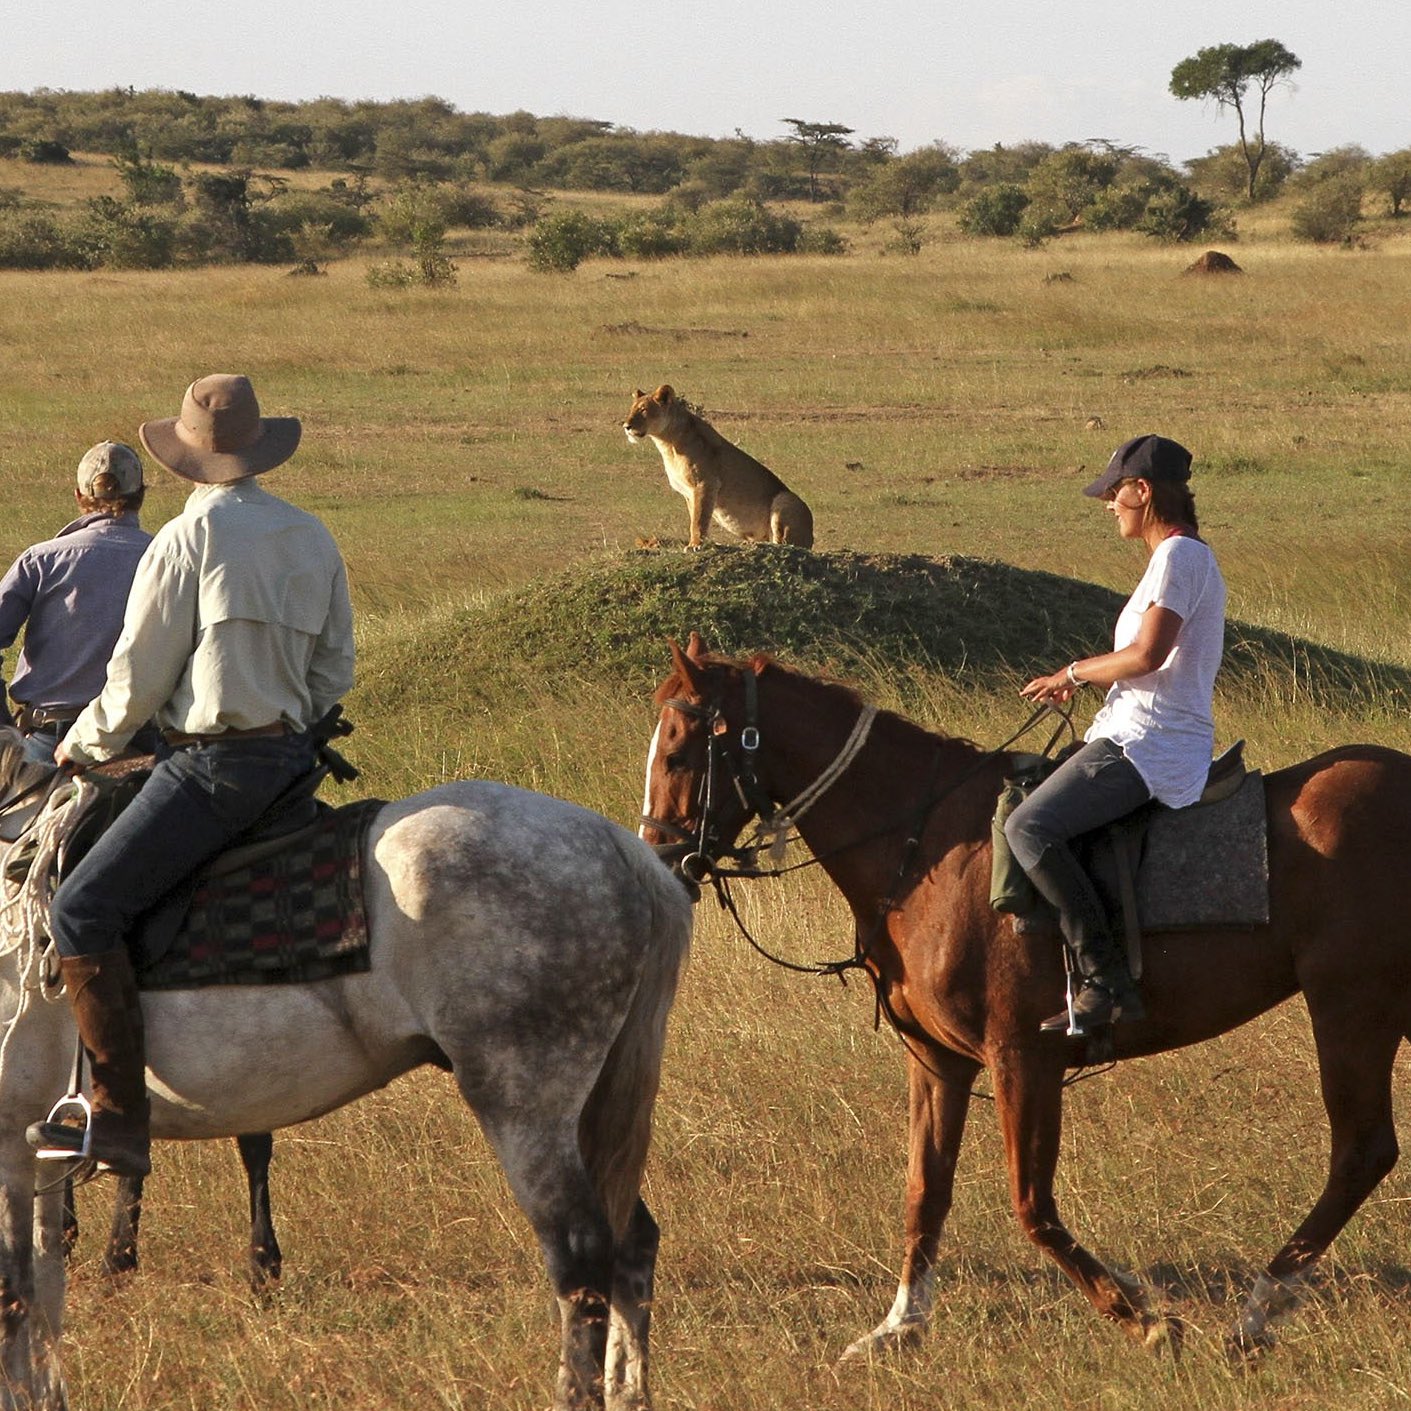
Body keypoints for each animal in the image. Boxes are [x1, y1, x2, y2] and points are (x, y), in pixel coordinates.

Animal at [0, 733, 688, 1411]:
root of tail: (622, 849)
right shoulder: (36, 1150)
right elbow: (43, 1291)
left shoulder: (10, 1142)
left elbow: (15, 1296)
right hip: (592, 1108)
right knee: (632, 1242)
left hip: (524, 1104)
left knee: (581, 1256)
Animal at [646, 637, 1411, 1354]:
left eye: (678, 754)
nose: (659, 859)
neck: (929, 848)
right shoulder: (938, 1059)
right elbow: (925, 1190)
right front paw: (899, 1325)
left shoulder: (1023, 1057)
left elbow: (1030, 1204)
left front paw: (1141, 1316)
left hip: (1351, 1008)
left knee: (1361, 1151)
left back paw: (1258, 1309)